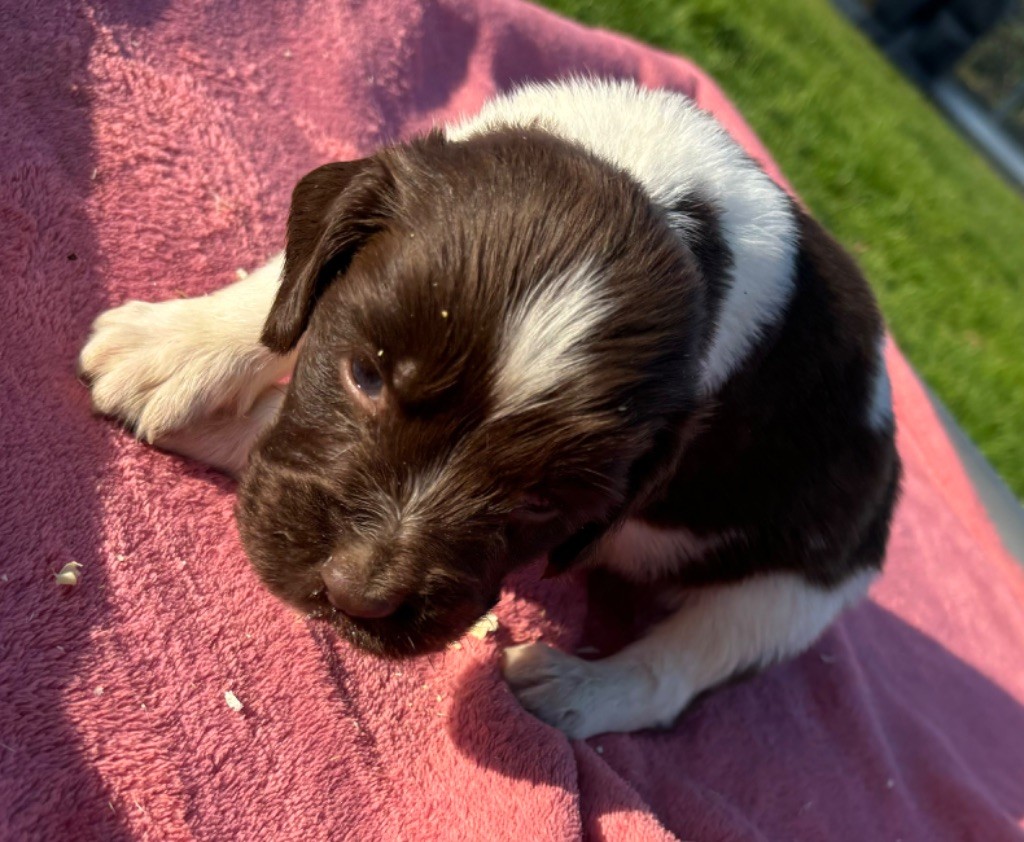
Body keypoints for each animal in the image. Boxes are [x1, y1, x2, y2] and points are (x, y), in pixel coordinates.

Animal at [77, 78, 897, 737]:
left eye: (542, 502)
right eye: (365, 375)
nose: (356, 598)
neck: (647, 177)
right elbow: (286, 283)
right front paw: (179, 343)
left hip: (790, 595)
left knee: (680, 668)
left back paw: (577, 688)